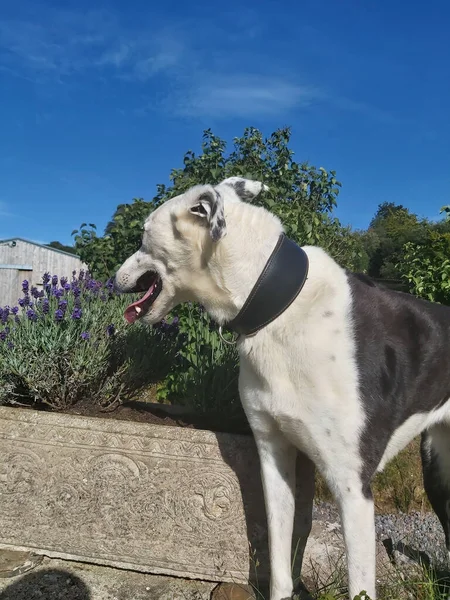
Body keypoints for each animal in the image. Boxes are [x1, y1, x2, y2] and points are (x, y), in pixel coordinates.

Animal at [114, 178, 450, 600]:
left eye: (144, 234)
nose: (113, 279)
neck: (281, 307)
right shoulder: (273, 456)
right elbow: (277, 564)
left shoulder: (352, 487)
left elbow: (359, 583)